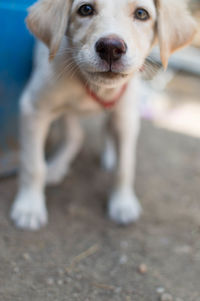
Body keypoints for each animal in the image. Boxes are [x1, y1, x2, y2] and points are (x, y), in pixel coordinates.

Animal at [10, 0, 195, 230]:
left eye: (141, 13)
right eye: (85, 9)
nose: (111, 48)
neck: (94, 87)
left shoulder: (126, 115)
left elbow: (125, 167)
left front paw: (122, 203)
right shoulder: (33, 110)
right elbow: (33, 165)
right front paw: (29, 207)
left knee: (103, 131)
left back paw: (109, 155)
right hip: (64, 111)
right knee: (75, 136)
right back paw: (57, 167)